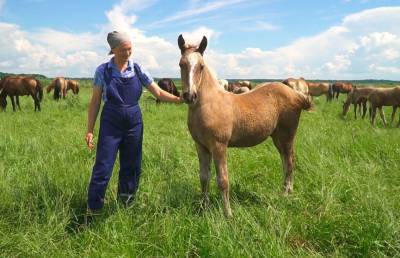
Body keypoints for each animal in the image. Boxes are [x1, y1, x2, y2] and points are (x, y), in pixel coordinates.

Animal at [178, 33, 312, 217]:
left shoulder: (219, 146)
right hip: (277, 137)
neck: (209, 104)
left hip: (287, 135)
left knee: (290, 161)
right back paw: (288, 190)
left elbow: (223, 180)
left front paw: (228, 214)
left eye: (201, 66)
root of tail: (296, 94)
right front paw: (203, 208)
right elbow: (204, 177)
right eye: (181, 64)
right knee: (286, 159)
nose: (190, 96)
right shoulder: (201, 146)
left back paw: (285, 194)